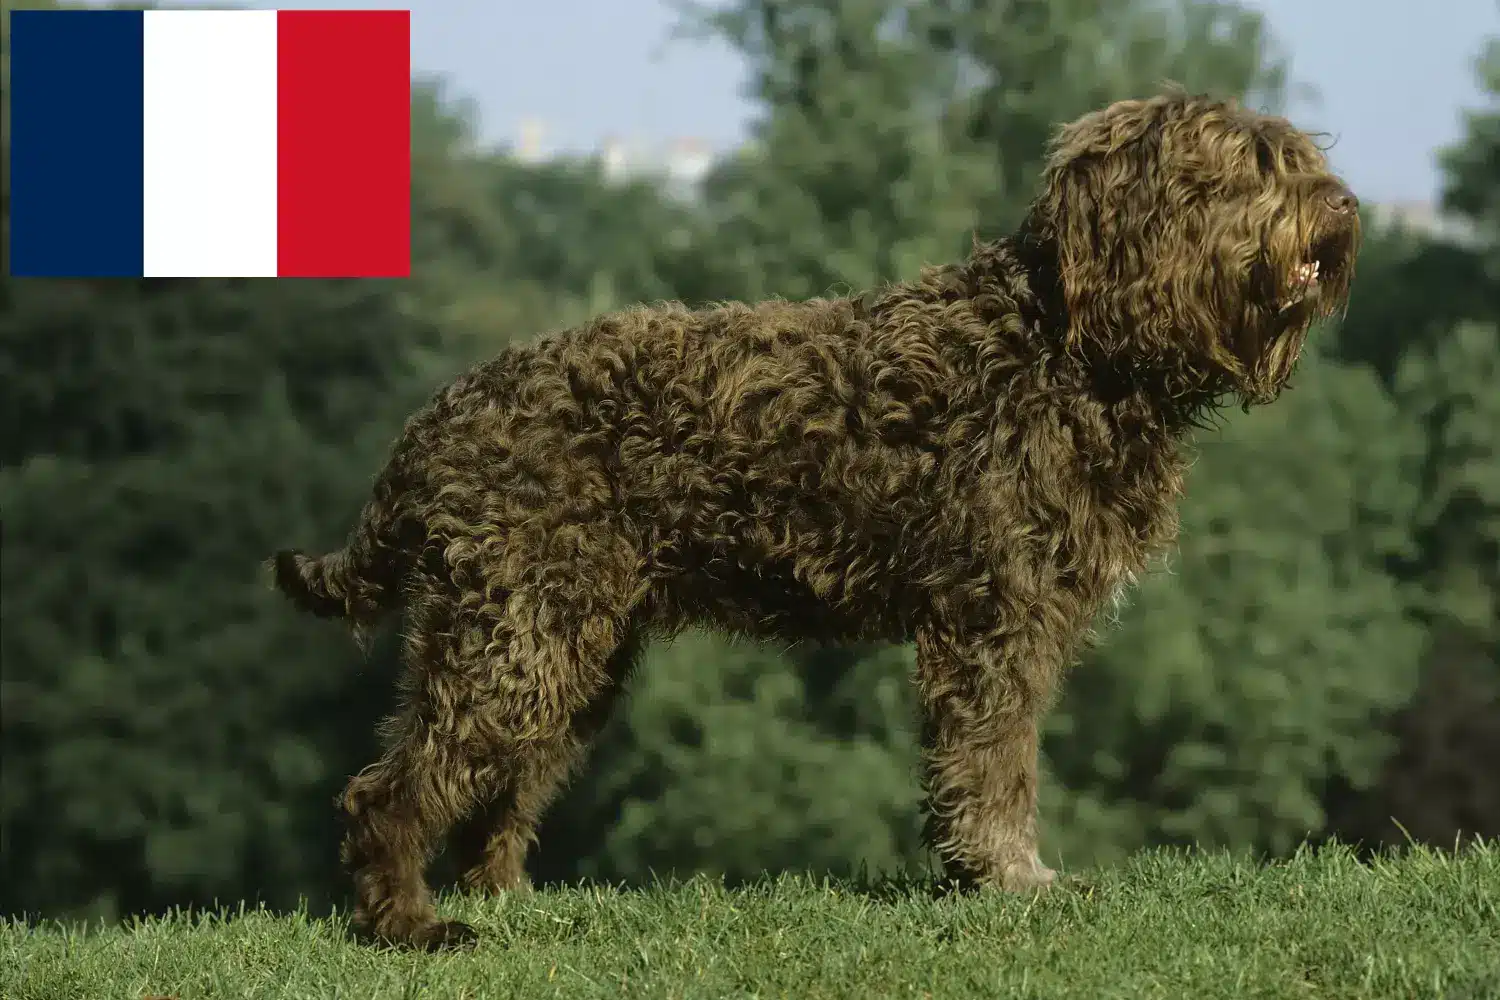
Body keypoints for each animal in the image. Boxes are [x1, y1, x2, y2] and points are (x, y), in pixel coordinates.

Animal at [270, 89, 1362, 953]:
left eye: (1297, 158)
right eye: (1244, 169)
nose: (1345, 207)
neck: (1065, 345)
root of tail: (438, 419)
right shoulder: (996, 621)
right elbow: (995, 764)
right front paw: (1013, 880)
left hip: (560, 645)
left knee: (493, 790)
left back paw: (506, 900)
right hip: (520, 639)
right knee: (389, 791)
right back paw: (410, 927)